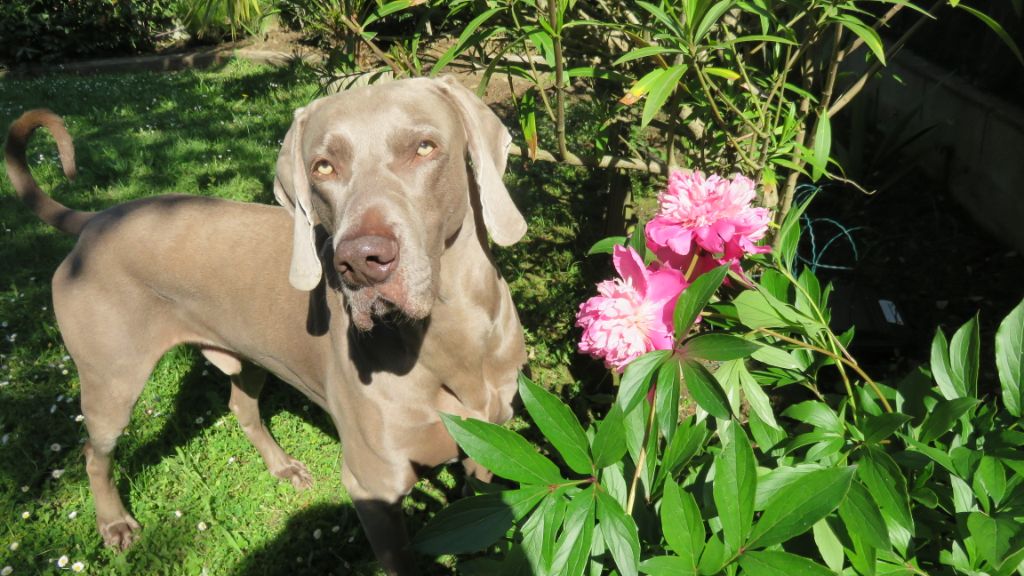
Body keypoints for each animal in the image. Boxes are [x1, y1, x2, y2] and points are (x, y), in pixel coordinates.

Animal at [2, 77, 528, 573]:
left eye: (424, 147)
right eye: (323, 167)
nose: (360, 262)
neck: (452, 338)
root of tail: (96, 220)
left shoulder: (489, 446)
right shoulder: (373, 487)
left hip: (249, 356)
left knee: (241, 406)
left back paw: (283, 468)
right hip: (112, 382)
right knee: (95, 453)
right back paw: (114, 524)